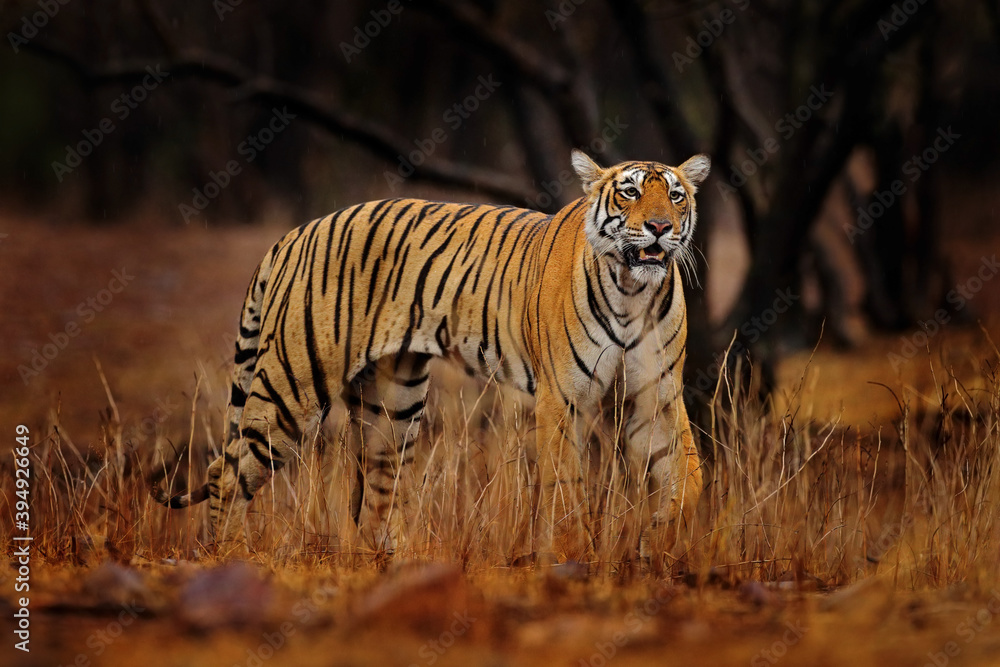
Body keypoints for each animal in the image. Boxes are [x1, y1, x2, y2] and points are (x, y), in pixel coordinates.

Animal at [151, 149, 709, 563]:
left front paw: (660, 547)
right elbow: (567, 487)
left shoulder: (657, 397)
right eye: (630, 191)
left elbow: (689, 478)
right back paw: (230, 556)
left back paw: (400, 564)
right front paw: (575, 559)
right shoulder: (563, 400)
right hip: (291, 388)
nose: (660, 227)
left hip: (393, 404)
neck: (633, 291)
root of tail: (296, 232)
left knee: (374, 496)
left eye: (675, 195)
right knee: (228, 472)